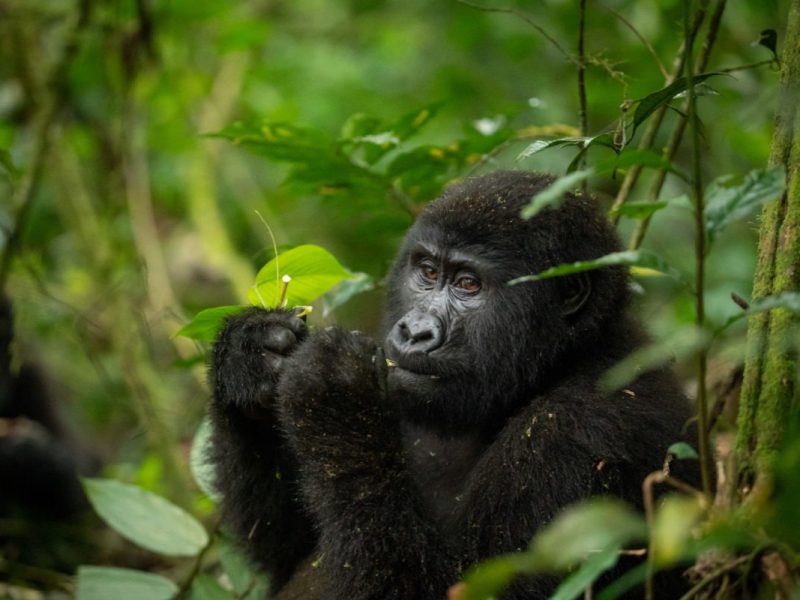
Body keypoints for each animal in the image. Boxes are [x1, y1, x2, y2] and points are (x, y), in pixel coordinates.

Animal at [208, 170, 700, 600]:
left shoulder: (582, 431)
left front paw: (333, 393)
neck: (565, 359)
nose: (414, 332)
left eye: (468, 284)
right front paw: (249, 356)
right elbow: (290, 551)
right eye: (427, 272)